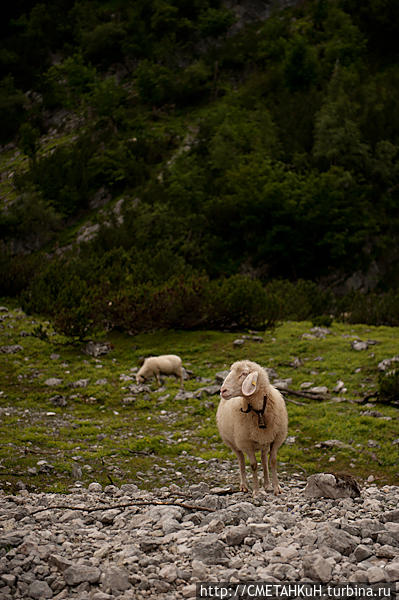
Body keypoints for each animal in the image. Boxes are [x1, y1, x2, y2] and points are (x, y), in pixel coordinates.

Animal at [219, 358, 288, 494]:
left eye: (244, 374)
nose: (222, 391)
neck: (259, 410)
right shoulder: (246, 443)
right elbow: (254, 465)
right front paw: (256, 491)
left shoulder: (276, 439)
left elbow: (272, 461)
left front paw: (277, 488)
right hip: (233, 443)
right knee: (241, 461)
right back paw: (244, 485)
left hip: (264, 441)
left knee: (264, 459)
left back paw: (267, 484)